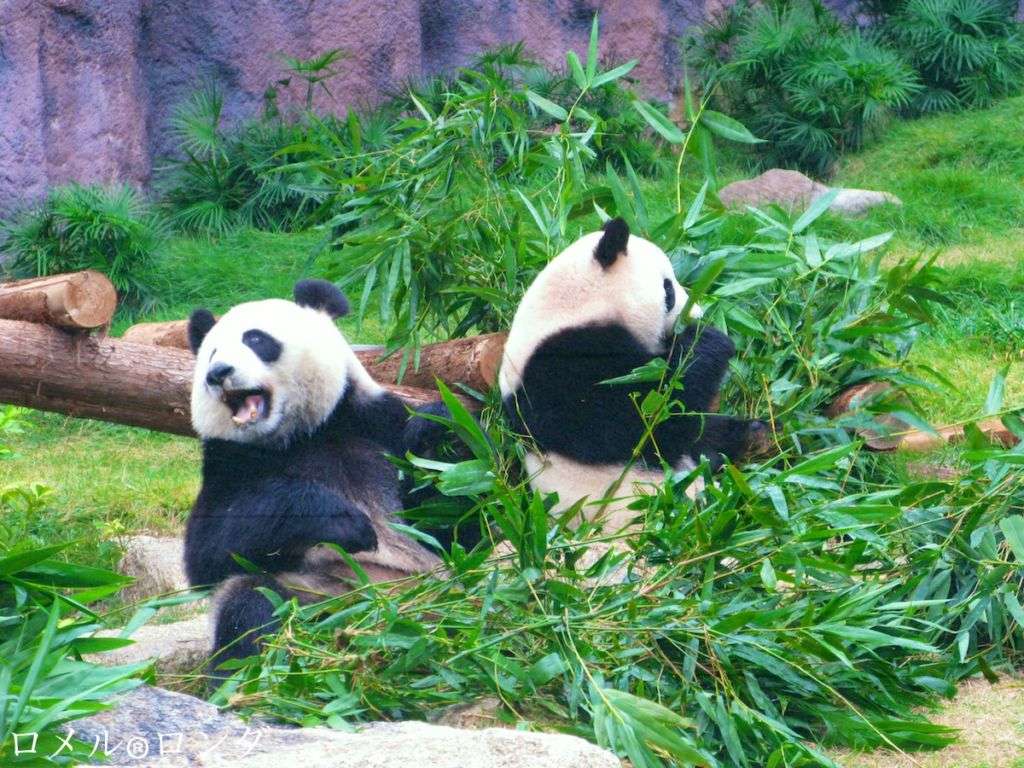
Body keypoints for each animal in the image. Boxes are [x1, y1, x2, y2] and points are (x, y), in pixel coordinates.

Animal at [183, 280, 452, 671]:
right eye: (211, 351)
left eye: (256, 339)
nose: (217, 373)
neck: (301, 434)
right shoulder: (229, 461)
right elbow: (207, 551)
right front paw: (344, 521)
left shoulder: (375, 425)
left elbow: (450, 525)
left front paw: (436, 434)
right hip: (312, 596)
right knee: (249, 605)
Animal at [495, 219, 770, 536]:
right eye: (668, 289)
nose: (697, 314)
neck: (573, 306)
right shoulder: (560, 370)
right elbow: (645, 414)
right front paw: (708, 340)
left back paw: (755, 434)